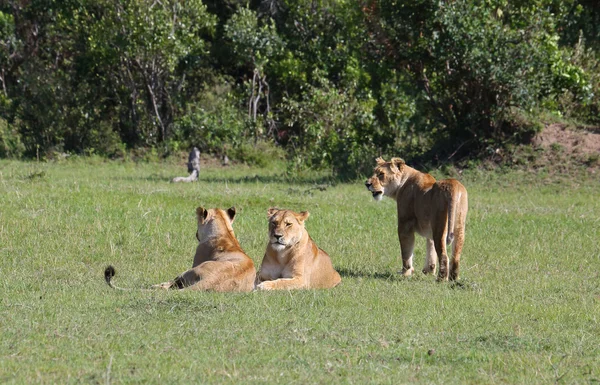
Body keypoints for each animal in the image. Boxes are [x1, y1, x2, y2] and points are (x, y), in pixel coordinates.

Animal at [105, 207, 255, 292]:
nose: (195, 233)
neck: (225, 232)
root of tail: (212, 279)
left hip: (188, 271)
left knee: (169, 285)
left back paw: (154, 286)